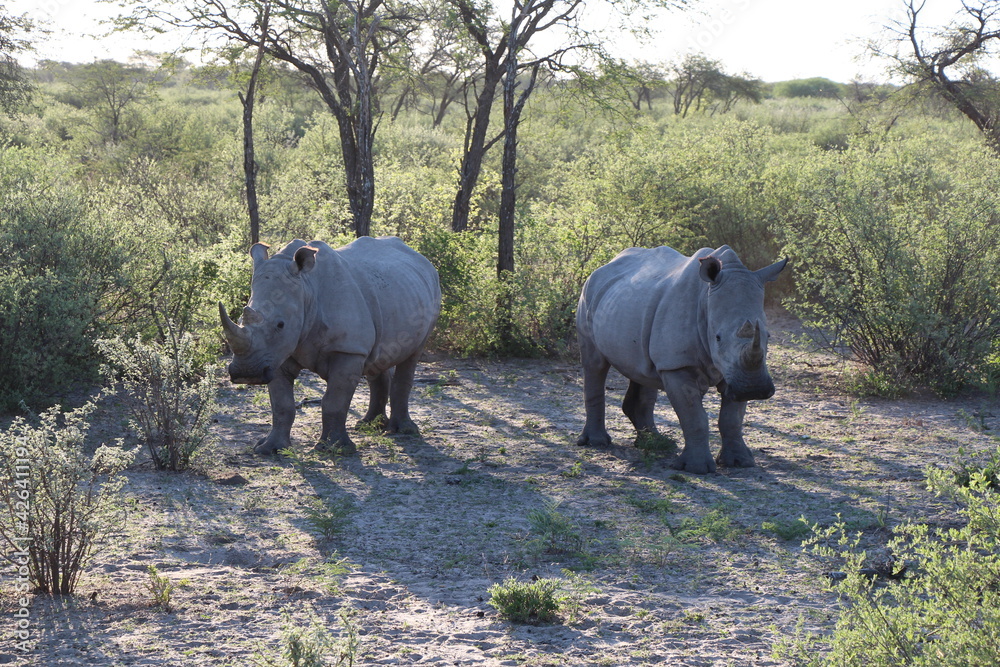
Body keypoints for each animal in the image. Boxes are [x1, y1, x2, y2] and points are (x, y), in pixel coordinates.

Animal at [220, 236, 441, 455]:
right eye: (240, 320)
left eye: (280, 324)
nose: (247, 373)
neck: (306, 289)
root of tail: (421, 258)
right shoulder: (276, 354)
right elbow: (282, 404)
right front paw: (270, 448)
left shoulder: (348, 349)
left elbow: (335, 401)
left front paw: (336, 448)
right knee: (378, 358)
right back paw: (368, 425)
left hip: (431, 294)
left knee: (412, 355)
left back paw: (403, 431)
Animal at [576, 245, 787, 474]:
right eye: (717, 337)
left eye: (768, 336)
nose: (754, 390)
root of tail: (605, 265)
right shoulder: (677, 365)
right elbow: (694, 416)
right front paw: (697, 468)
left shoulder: (736, 372)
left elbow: (732, 418)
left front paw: (740, 462)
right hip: (588, 293)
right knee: (595, 365)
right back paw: (596, 443)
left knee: (643, 370)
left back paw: (656, 443)